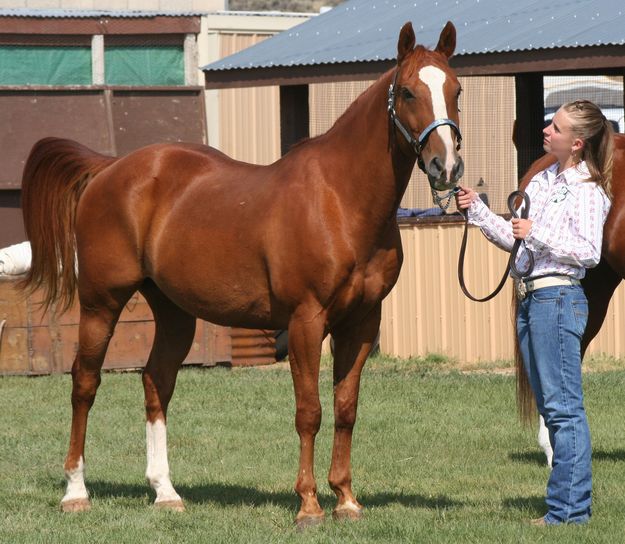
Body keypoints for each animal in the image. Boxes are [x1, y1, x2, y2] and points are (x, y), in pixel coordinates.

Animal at [19, 22, 464, 528]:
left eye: (456, 90)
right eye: (408, 91)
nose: (446, 167)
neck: (339, 198)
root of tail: (110, 168)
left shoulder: (363, 322)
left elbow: (346, 408)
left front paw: (346, 500)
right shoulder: (306, 320)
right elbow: (309, 410)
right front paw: (309, 504)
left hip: (174, 312)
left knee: (156, 382)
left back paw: (165, 491)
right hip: (101, 302)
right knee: (85, 383)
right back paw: (76, 491)